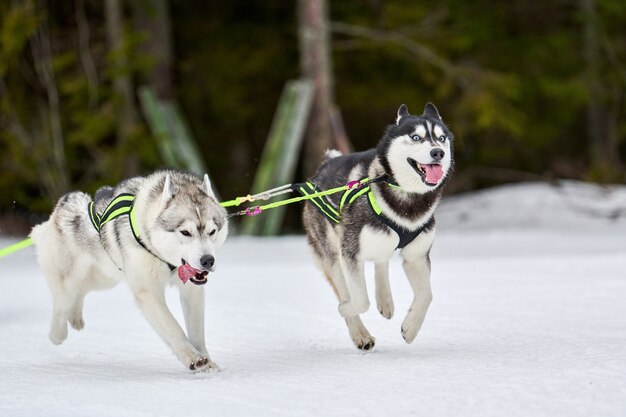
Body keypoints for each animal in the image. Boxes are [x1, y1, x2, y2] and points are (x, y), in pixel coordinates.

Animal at [30, 169, 228, 370]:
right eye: (185, 232)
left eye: (212, 231)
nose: (208, 261)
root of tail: (61, 209)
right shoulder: (148, 293)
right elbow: (173, 327)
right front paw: (193, 357)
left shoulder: (192, 291)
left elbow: (197, 333)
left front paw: (207, 362)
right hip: (69, 281)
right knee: (61, 303)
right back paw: (57, 334)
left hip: (105, 279)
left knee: (80, 292)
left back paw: (75, 317)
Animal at [302, 102, 450, 350]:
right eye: (416, 137)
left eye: (441, 138)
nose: (438, 152)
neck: (407, 199)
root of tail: (323, 166)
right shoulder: (350, 253)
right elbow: (360, 301)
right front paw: (346, 308)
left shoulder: (416, 256)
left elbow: (427, 296)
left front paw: (410, 328)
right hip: (332, 256)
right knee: (346, 286)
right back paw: (360, 333)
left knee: (382, 261)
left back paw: (385, 299)